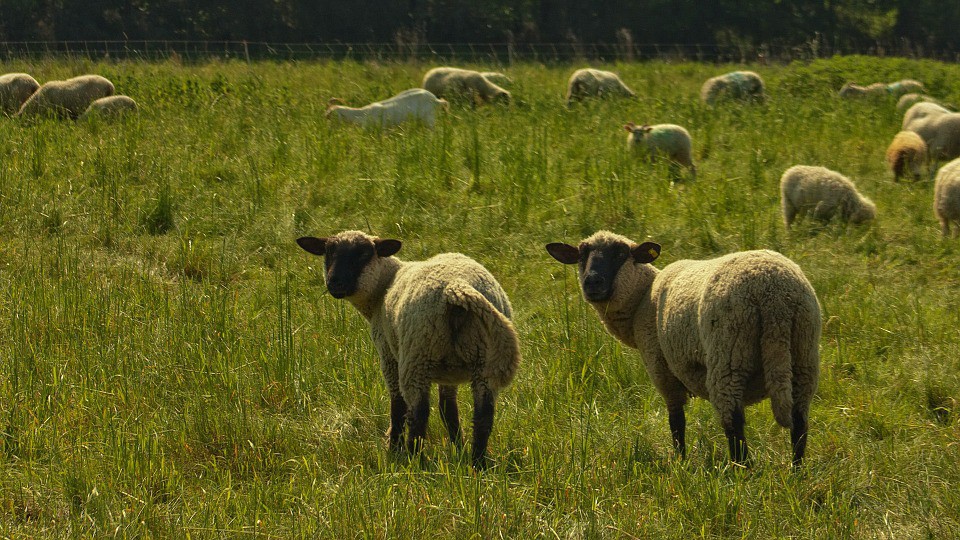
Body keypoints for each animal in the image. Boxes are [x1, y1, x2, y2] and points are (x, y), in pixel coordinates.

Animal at [296, 230, 520, 469]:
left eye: (364, 254)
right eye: (328, 252)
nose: (334, 282)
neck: (382, 287)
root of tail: (457, 287)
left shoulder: (388, 354)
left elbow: (398, 406)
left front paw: (393, 449)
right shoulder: (448, 373)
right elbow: (448, 409)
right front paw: (457, 448)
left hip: (417, 354)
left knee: (418, 413)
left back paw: (414, 460)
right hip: (483, 359)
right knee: (483, 415)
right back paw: (477, 463)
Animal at [545, 231, 821, 466]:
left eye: (621, 254)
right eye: (582, 255)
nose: (592, 282)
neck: (641, 299)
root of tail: (773, 293)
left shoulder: (661, 368)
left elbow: (676, 421)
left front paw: (681, 461)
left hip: (728, 355)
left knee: (733, 422)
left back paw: (741, 471)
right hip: (803, 353)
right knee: (799, 422)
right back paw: (795, 471)